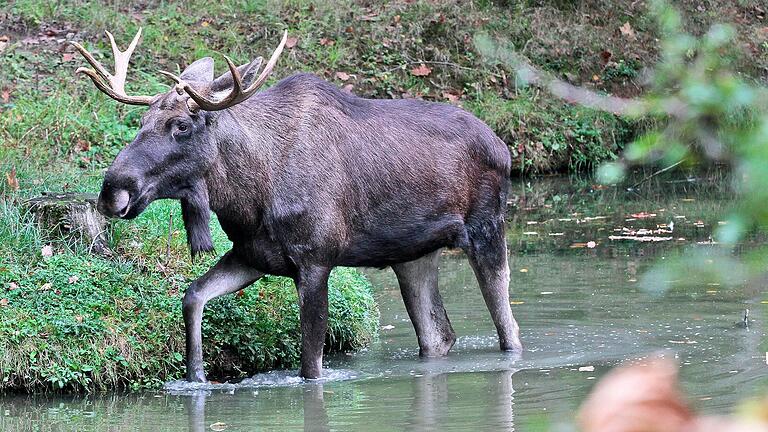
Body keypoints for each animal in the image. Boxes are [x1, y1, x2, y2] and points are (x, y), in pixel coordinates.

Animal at [73, 29, 520, 382]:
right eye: (141, 122)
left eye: (180, 125)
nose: (113, 190)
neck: (247, 197)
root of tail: (504, 148)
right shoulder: (253, 254)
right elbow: (193, 296)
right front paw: (196, 376)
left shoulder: (316, 258)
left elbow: (310, 365)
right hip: (412, 254)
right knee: (439, 335)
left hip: (486, 227)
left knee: (509, 328)